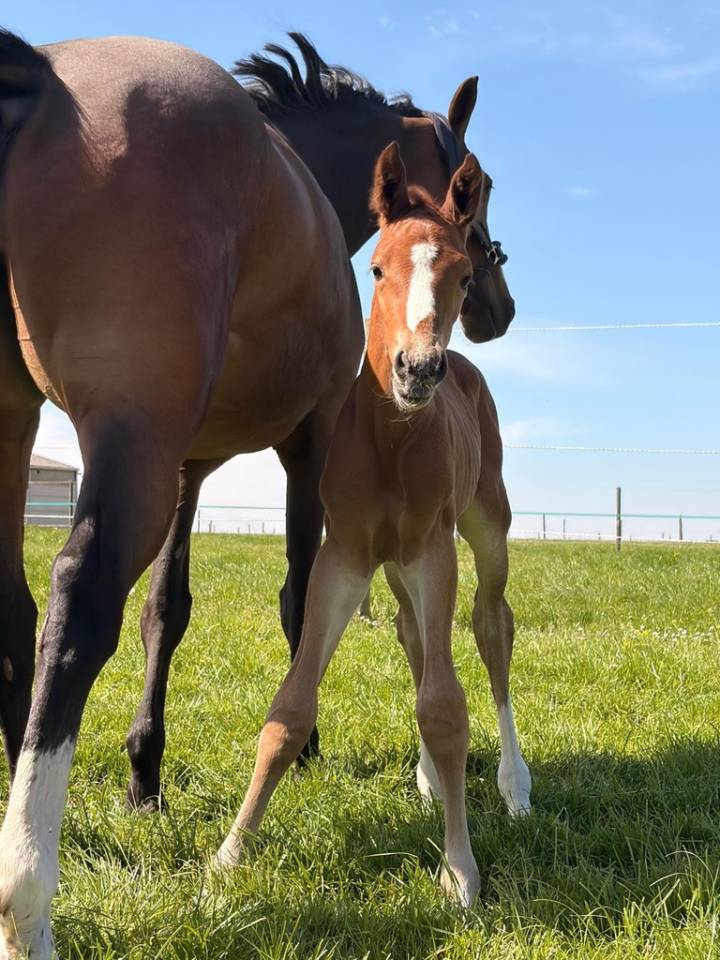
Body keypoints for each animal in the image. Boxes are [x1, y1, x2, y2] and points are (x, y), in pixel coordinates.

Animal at [0, 30, 366, 958]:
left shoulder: (187, 470)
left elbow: (166, 612)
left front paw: (144, 777)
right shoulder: (310, 443)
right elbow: (300, 597)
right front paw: (306, 745)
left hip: (18, 423)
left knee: (16, 609)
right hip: (130, 437)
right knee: (77, 603)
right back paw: (27, 893)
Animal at [215, 143, 531, 907]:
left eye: (464, 274)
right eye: (378, 268)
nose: (417, 369)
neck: (390, 438)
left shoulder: (434, 550)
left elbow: (445, 706)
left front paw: (460, 868)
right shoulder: (347, 557)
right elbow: (290, 707)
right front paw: (230, 853)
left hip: (484, 528)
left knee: (490, 629)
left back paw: (514, 785)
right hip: (394, 569)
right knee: (413, 635)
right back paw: (428, 779)